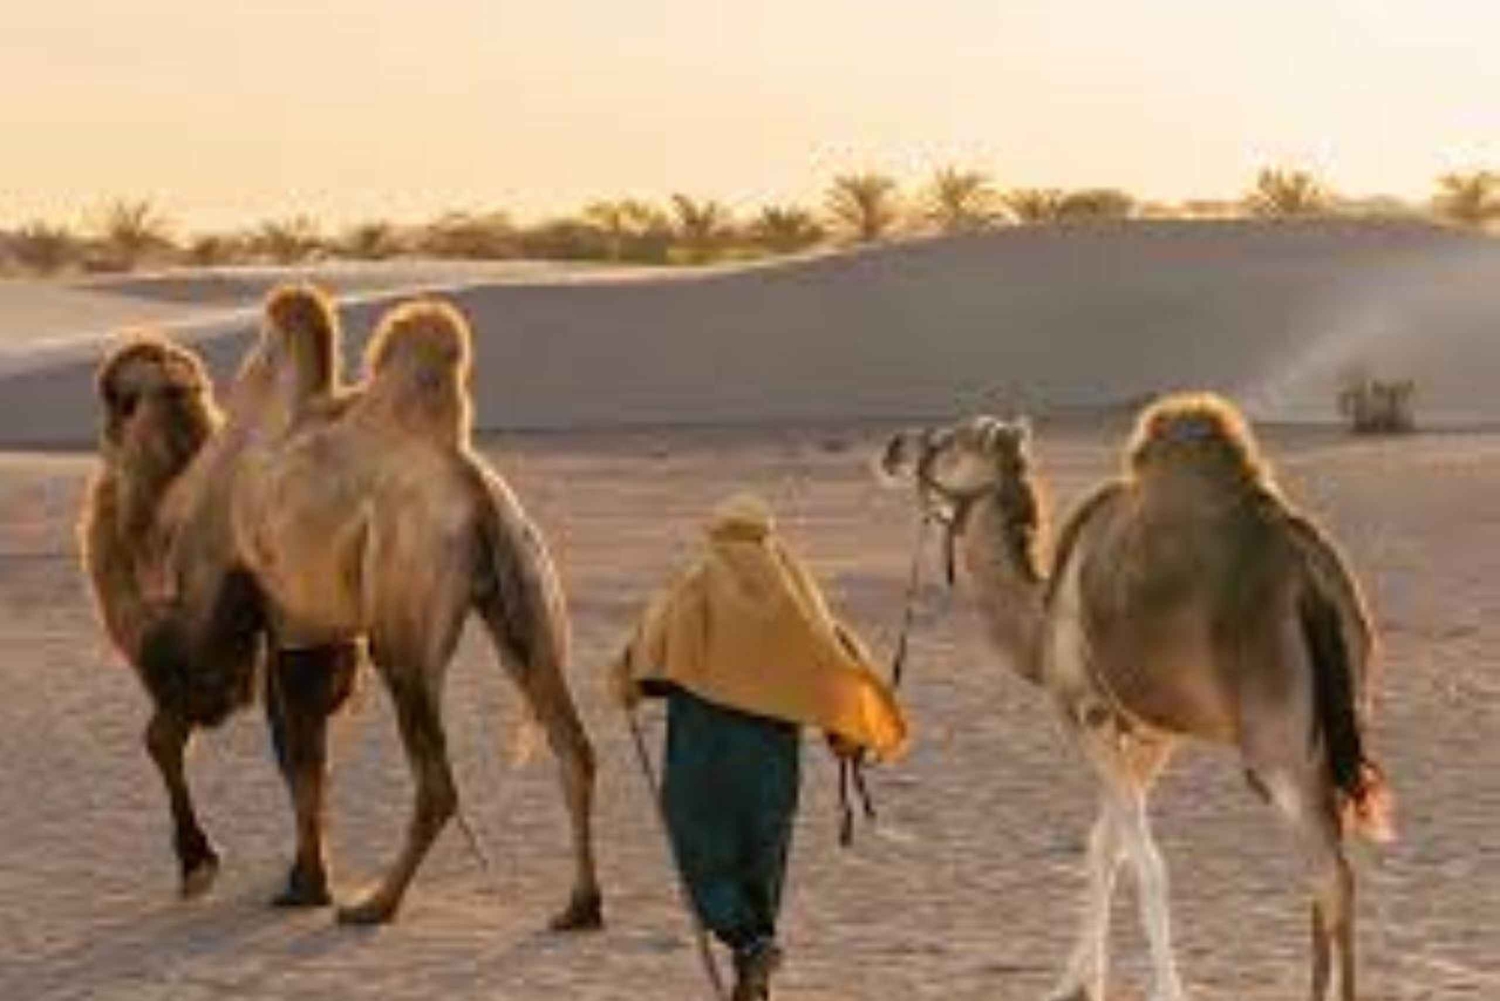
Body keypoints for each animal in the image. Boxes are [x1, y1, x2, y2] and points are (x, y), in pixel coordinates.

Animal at [169, 291, 602, 928]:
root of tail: (472, 488)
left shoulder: (287, 618)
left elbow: (298, 749)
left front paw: (305, 885)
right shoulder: (305, 627)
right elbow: (304, 748)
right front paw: (304, 881)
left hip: (404, 604)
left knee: (434, 777)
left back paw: (376, 902)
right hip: (526, 593)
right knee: (572, 744)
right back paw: (580, 904)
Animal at [878, 393, 1391, 1001]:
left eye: (954, 441)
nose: (895, 447)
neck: (1041, 620)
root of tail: (1310, 579)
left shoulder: (1087, 713)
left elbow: (1144, 861)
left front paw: (1152, 988)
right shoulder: (1150, 731)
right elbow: (1105, 846)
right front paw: (1078, 985)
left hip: (1278, 740)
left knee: (1331, 875)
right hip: (1335, 722)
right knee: (1327, 869)